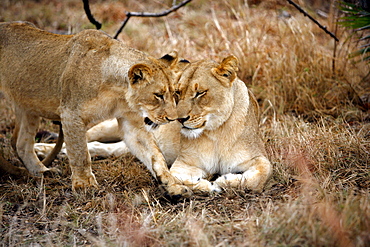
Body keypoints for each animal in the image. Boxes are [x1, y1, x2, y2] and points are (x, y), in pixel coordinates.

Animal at [0, 20, 191, 196]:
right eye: (158, 95)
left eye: (175, 93)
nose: (173, 119)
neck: (117, 91)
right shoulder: (70, 114)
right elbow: (80, 153)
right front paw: (85, 186)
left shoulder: (132, 124)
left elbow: (155, 156)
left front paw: (173, 185)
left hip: (27, 106)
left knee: (21, 143)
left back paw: (41, 172)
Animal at [32, 54, 272, 195]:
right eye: (177, 93)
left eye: (200, 93)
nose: (179, 119)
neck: (215, 132)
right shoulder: (184, 165)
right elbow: (182, 178)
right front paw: (210, 185)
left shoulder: (257, 156)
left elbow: (261, 175)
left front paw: (225, 181)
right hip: (113, 125)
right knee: (81, 139)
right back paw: (41, 150)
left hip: (128, 144)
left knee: (102, 148)